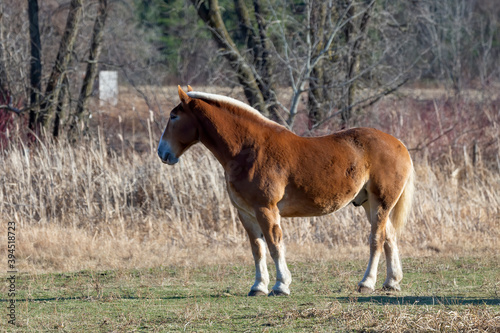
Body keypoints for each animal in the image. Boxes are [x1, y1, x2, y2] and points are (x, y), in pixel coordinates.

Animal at [157, 85, 414, 296]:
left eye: (173, 116)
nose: (162, 152)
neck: (249, 149)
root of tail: (399, 144)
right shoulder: (246, 213)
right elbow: (257, 248)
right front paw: (258, 287)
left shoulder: (266, 209)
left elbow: (273, 244)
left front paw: (281, 285)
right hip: (370, 203)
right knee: (389, 236)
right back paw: (391, 282)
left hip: (381, 202)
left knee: (376, 239)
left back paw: (367, 283)